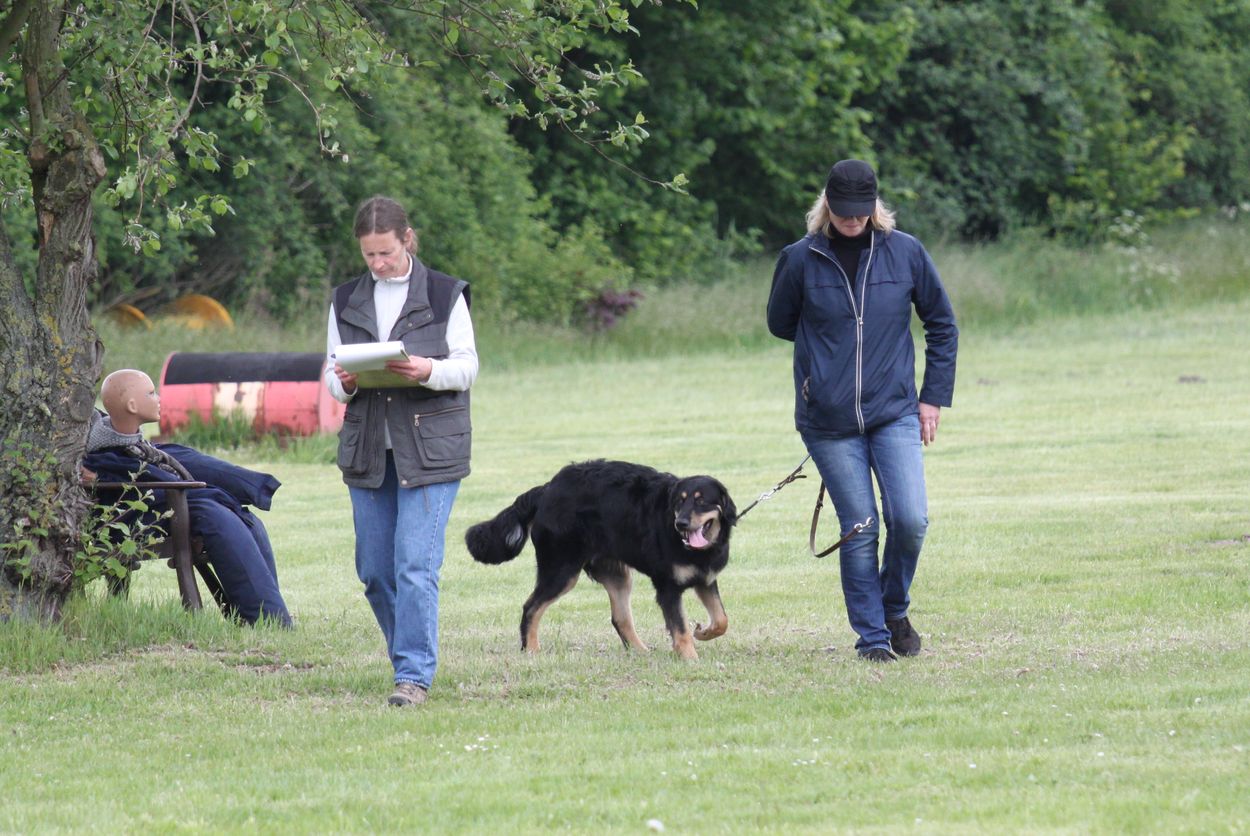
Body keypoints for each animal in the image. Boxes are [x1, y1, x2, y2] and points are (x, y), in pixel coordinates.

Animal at [465, 460, 737, 659]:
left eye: (701, 501)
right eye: (679, 502)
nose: (680, 523)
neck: (695, 548)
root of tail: (547, 489)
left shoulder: (705, 580)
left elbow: (722, 620)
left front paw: (703, 633)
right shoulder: (667, 587)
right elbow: (680, 630)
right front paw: (690, 658)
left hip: (617, 575)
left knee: (620, 619)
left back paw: (640, 652)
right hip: (561, 571)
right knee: (531, 607)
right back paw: (531, 649)